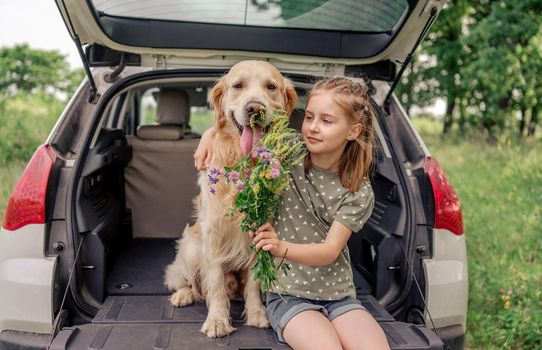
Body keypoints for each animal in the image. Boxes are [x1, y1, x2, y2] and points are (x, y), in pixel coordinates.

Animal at [165, 60, 298, 340]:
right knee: (188, 282)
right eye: (238, 85)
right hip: (190, 247)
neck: (243, 160)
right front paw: (217, 321)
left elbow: (254, 283)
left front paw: (257, 314)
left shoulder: (261, 230)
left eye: (271, 87)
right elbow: (215, 283)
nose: (255, 108)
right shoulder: (213, 233)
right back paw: (183, 295)